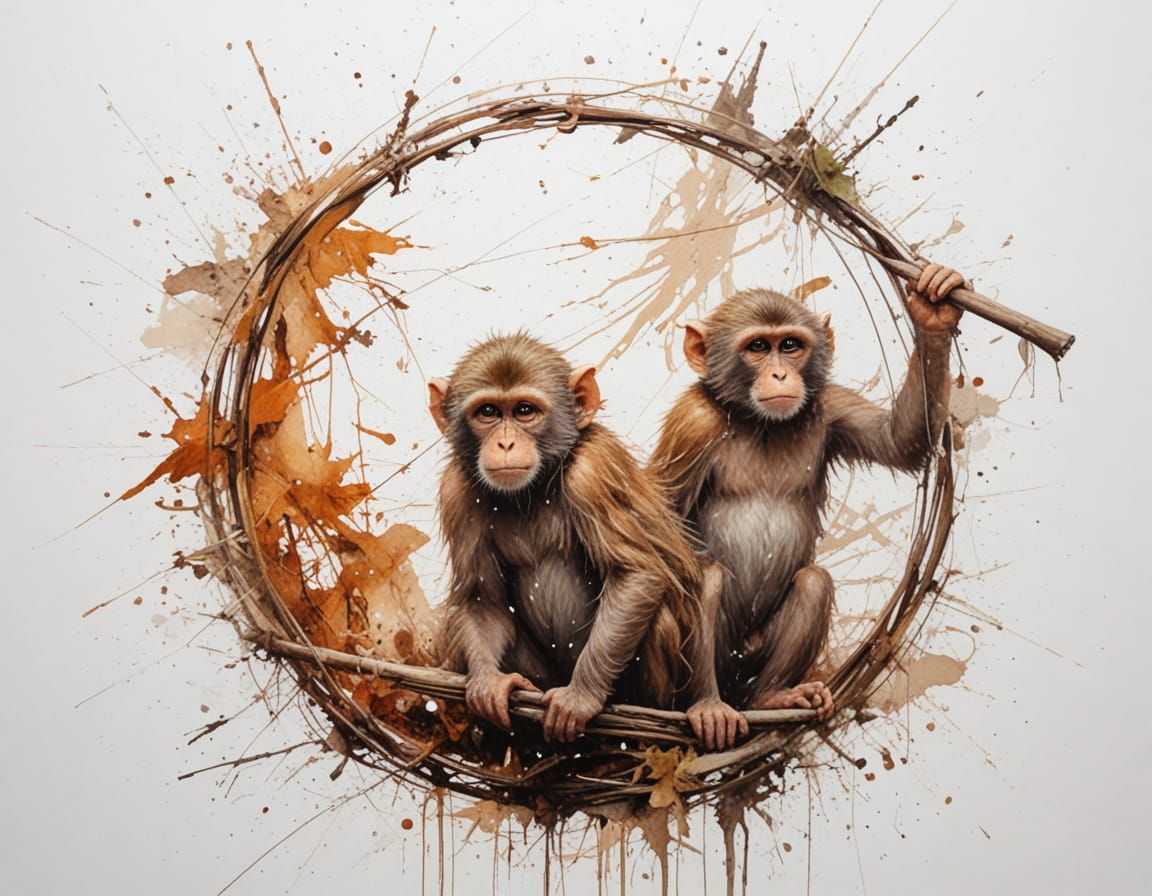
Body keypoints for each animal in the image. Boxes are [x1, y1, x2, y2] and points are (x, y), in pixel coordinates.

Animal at [429, 333, 707, 744]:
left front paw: (581, 696)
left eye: (525, 411)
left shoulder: (593, 471)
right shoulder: (456, 491)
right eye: (488, 412)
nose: (505, 444)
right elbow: (482, 598)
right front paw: (489, 682)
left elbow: (637, 575)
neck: (536, 486)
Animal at [650, 264, 965, 751]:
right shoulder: (693, 423)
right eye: (758, 347)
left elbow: (900, 441)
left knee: (814, 583)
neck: (756, 421)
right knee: (706, 575)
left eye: (790, 346)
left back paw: (773, 697)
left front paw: (933, 312)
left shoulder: (832, 406)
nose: (780, 375)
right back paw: (706, 707)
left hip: (750, 661)